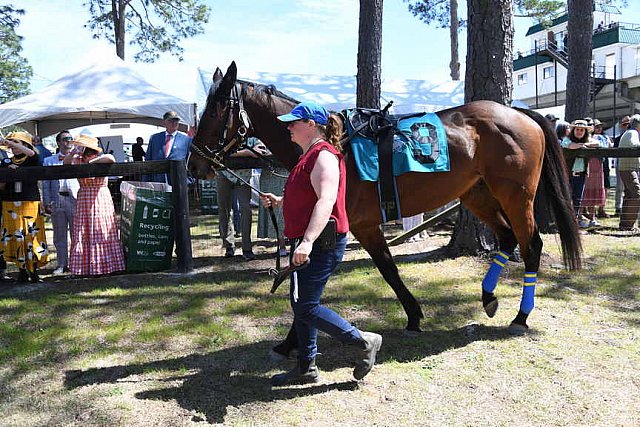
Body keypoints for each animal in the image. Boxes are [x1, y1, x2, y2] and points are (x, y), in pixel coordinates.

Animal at [189, 62, 580, 338]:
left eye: (213, 112)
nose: (194, 164)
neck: (337, 146)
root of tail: (519, 113)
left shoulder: (359, 225)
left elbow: (385, 269)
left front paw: (413, 314)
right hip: (476, 194)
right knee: (507, 237)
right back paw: (488, 298)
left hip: (516, 196)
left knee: (531, 244)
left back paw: (522, 316)